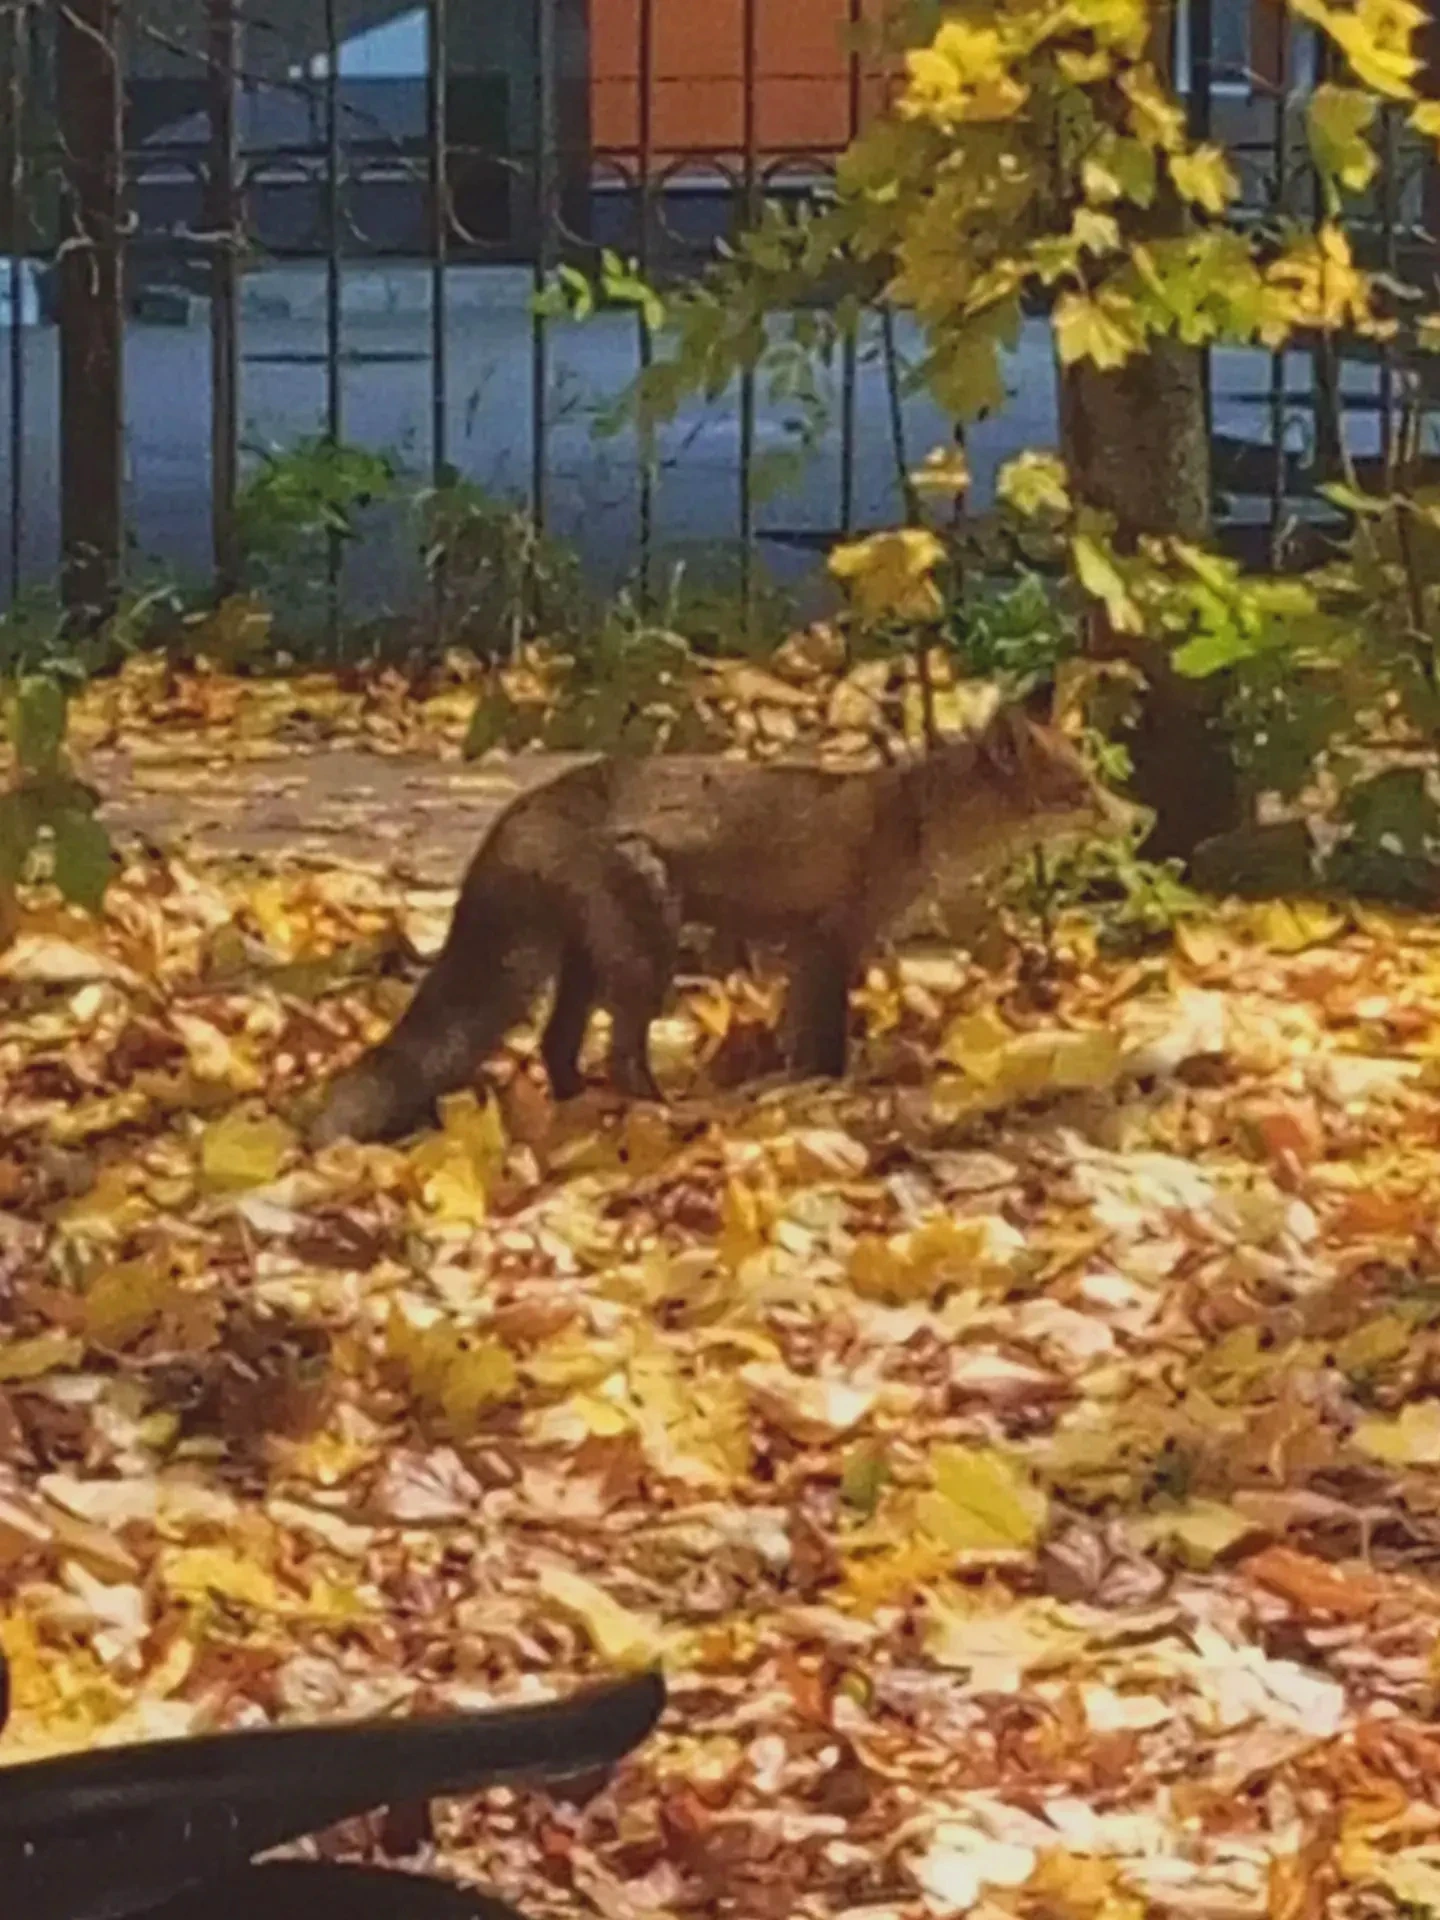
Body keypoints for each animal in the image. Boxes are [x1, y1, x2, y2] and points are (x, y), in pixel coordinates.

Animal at [309, 694, 1125, 1146]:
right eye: (1080, 789)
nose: (1130, 818)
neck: (916, 825)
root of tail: (522, 811)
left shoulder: (807, 946)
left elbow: (801, 1035)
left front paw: (794, 1084)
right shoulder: (832, 941)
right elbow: (825, 1043)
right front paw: (823, 1090)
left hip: (589, 961)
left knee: (556, 1047)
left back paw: (581, 1108)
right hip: (648, 952)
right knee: (619, 1053)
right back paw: (658, 1113)